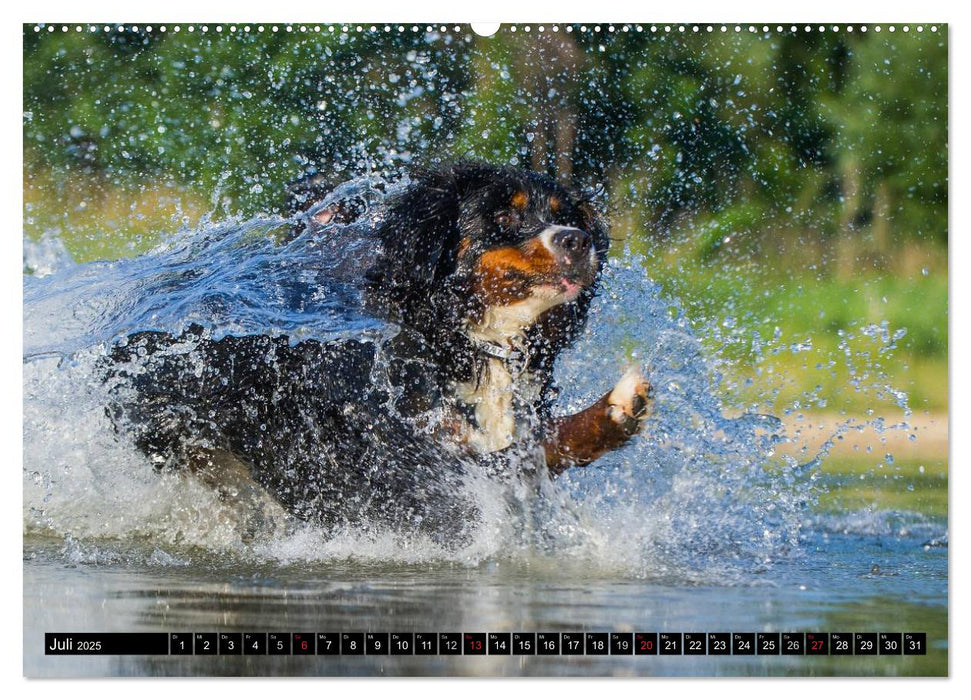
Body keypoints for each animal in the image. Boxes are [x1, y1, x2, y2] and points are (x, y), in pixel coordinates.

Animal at [104, 163, 652, 540]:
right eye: (501, 214)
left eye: (568, 217)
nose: (577, 241)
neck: (456, 334)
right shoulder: (390, 452)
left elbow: (540, 443)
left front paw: (615, 412)